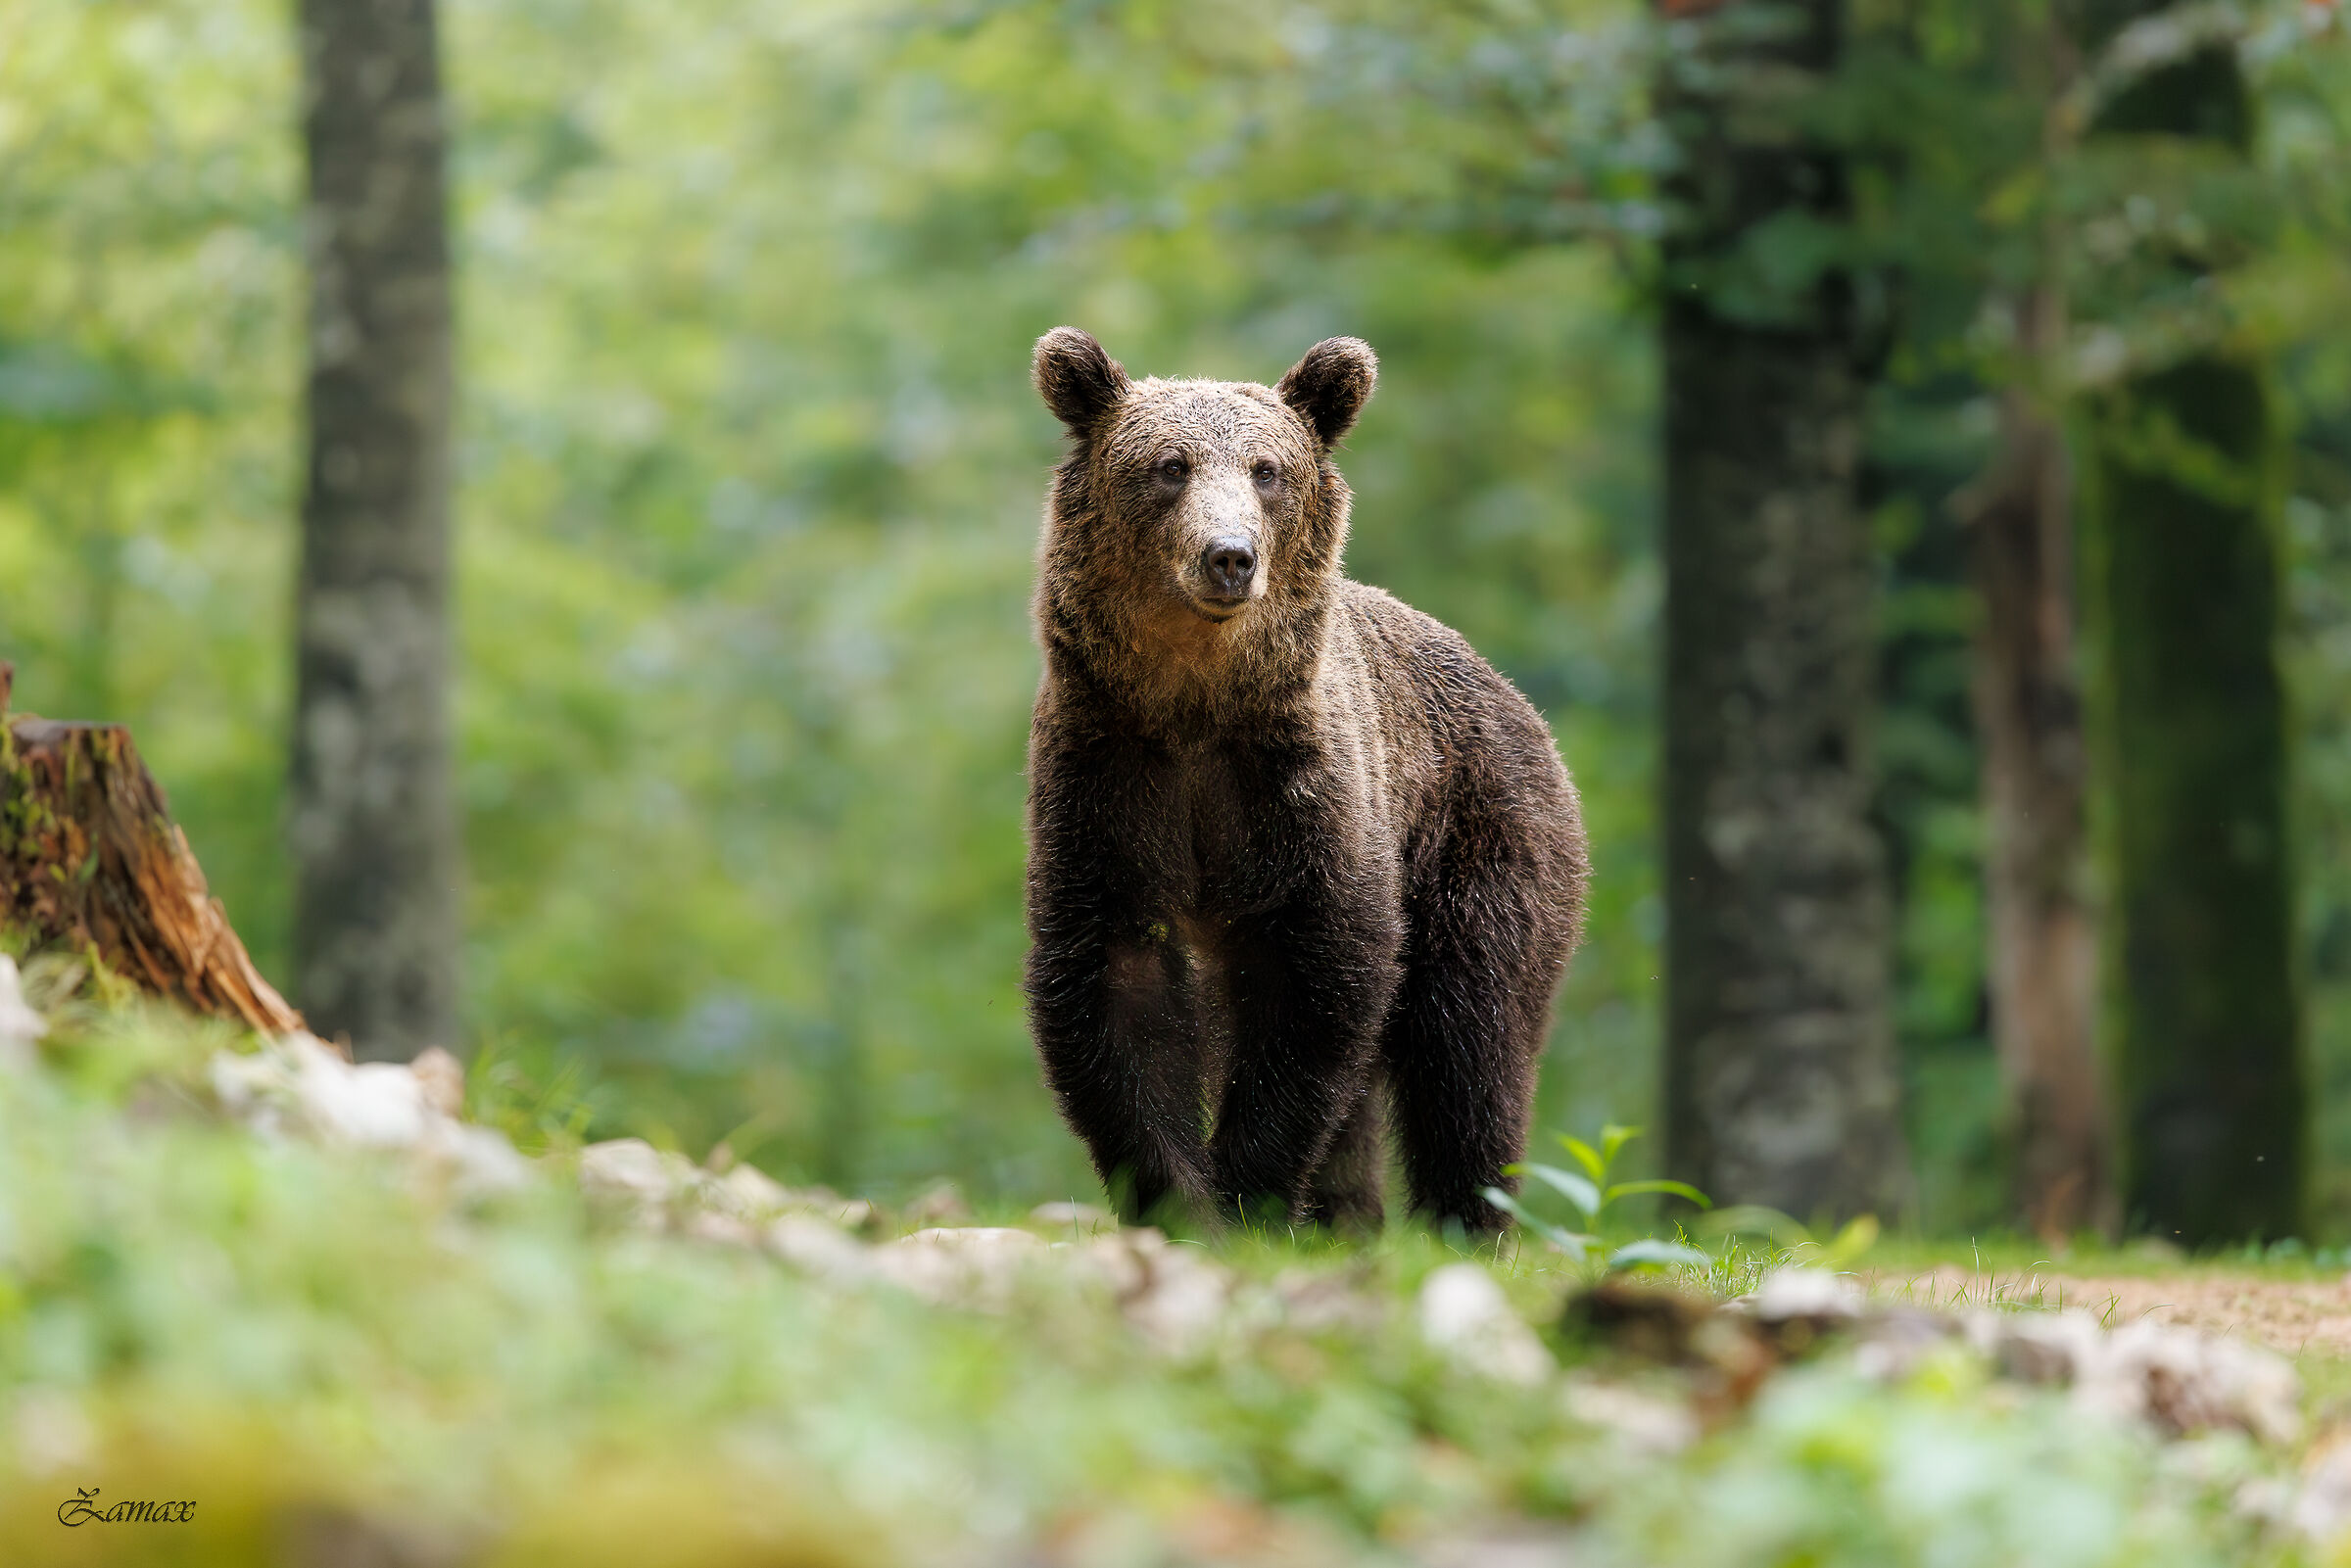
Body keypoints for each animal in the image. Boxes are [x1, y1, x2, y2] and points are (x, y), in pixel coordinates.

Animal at [1022, 327, 1588, 1233]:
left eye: (1267, 468)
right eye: (1170, 465)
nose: (1229, 557)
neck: (1196, 706)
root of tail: (1515, 698)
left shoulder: (1300, 791)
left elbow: (1317, 983)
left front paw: (1245, 1193)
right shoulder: (1109, 776)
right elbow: (1114, 983)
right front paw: (1180, 1196)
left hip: (1483, 834)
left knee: (1471, 1044)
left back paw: (1466, 1218)